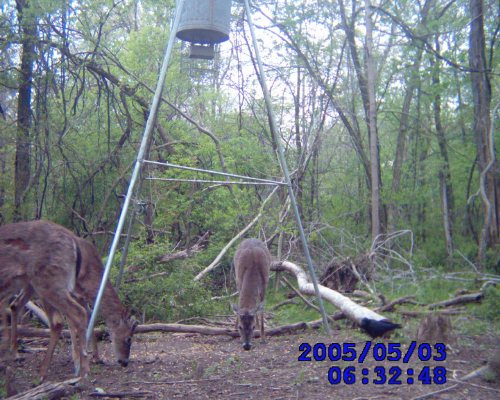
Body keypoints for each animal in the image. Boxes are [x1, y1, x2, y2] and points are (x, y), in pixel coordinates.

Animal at [0, 220, 137, 380]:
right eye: (129, 338)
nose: (124, 362)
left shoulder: (79, 295)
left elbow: (89, 316)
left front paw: (95, 357)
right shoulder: (73, 291)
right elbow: (75, 321)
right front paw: (77, 360)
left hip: (31, 284)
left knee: (15, 305)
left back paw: (15, 353)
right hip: (41, 284)